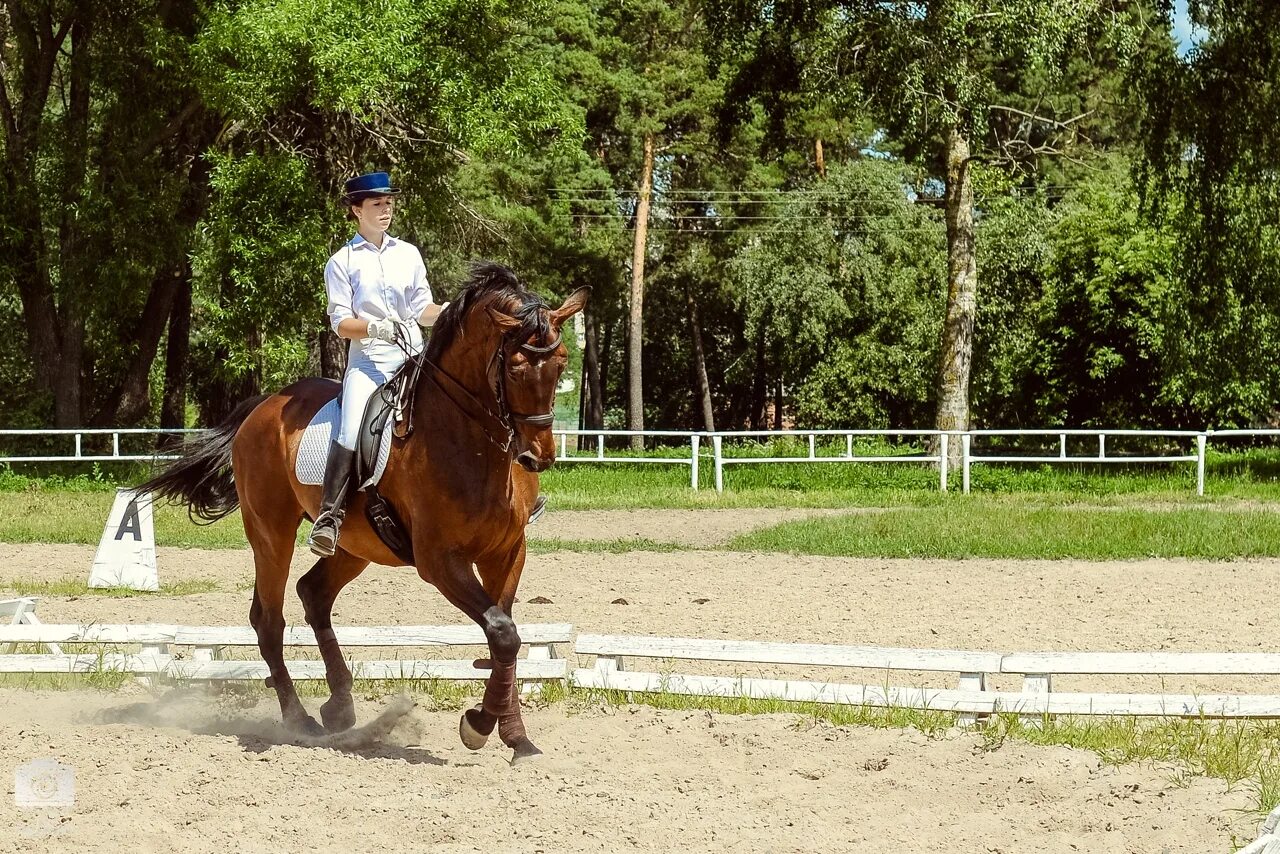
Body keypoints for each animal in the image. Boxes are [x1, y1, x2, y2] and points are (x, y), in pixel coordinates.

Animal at [136, 263, 588, 763]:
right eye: (514, 366)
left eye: (562, 362)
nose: (536, 457)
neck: (468, 441)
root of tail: (265, 405)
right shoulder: (439, 561)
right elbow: (503, 632)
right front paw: (479, 725)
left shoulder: (507, 553)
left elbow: (505, 636)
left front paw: (513, 735)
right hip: (271, 534)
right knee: (269, 620)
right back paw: (301, 721)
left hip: (356, 545)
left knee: (313, 593)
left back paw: (339, 705)